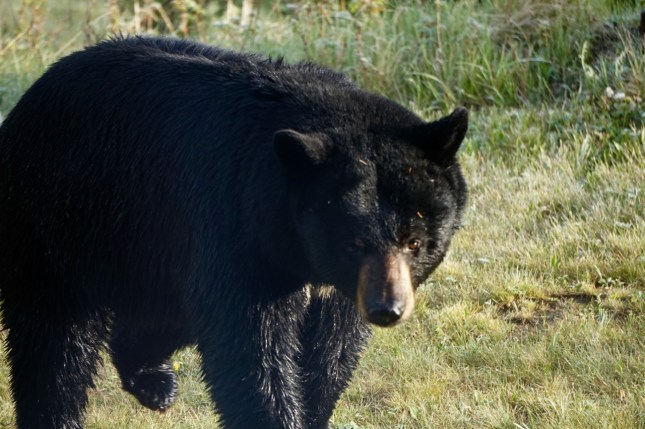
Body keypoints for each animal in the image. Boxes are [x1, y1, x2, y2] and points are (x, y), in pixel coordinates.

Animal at [0, 36, 468, 429]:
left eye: (414, 241)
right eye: (354, 242)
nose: (387, 309)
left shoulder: (333, 285)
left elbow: (330, 354)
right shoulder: (233, 229)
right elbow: (250, 351)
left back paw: (153, 381)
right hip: (59, 222)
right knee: (54, 346)